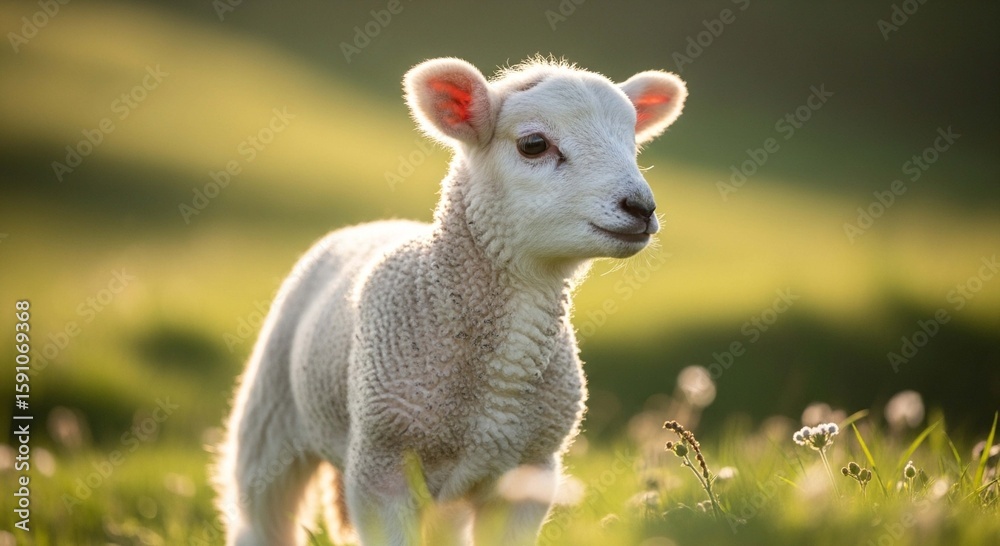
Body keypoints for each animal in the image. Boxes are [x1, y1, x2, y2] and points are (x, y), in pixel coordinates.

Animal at [214, 56, 687, 546]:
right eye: (534, 144)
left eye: (632, 143)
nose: (641, 207)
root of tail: (372, 224)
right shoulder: (381, 464)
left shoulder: (530, 472)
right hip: (271, 415)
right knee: (259, 511)